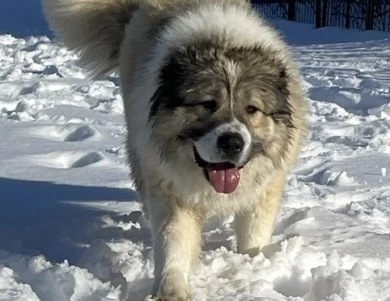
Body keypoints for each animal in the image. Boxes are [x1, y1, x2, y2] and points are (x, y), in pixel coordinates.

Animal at [43, 1, 308, 298]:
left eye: (252, 109)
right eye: (207, 104)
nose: (232, 142)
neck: (220, 40)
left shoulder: (265, 186)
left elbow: (254, 232)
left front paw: (254, 262)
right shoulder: (169, 187)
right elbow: (173, 240)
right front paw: (170, 290)